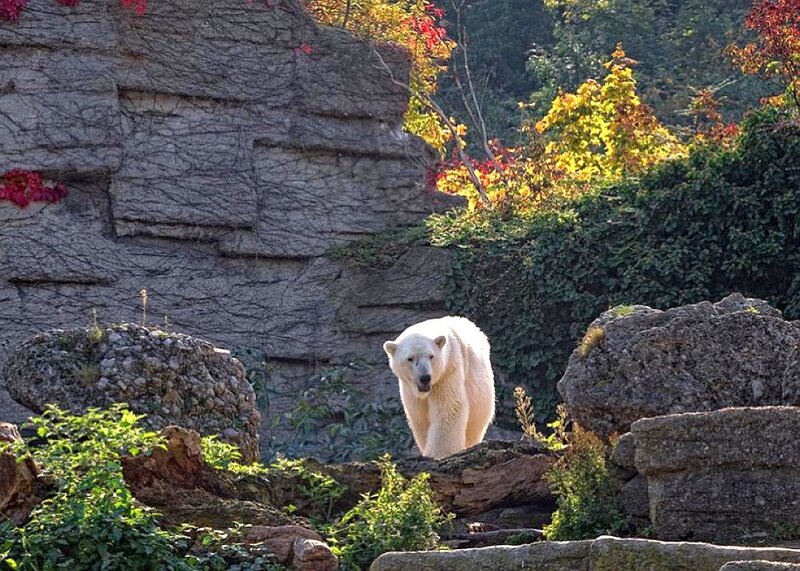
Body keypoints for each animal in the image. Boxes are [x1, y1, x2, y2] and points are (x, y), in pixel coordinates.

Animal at [383, 316, 495, 459]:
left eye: (431, 356)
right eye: (410, 358)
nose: (425, 377)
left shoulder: (448, 369)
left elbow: (449, 407)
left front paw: (440, 454)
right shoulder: (409, 388)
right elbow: (419, 414)